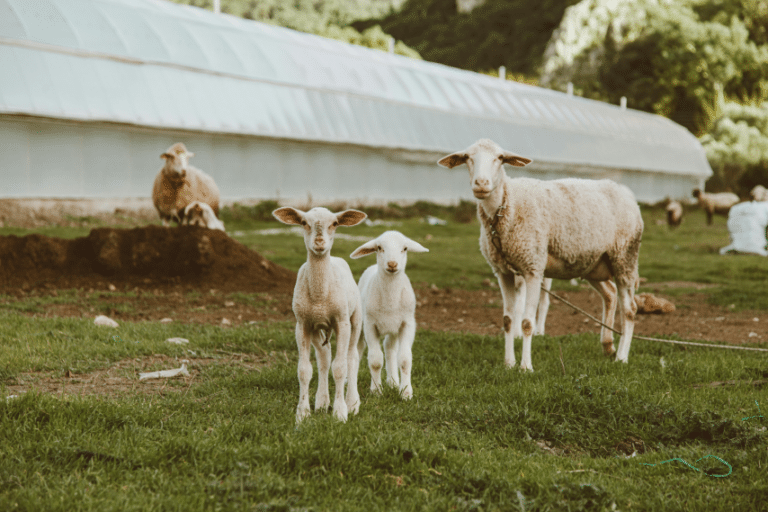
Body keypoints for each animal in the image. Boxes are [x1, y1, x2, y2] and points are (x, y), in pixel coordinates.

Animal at [272, 205, 368, 424]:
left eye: (334, 223)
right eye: (303, 223)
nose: (319, 243)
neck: (319, 297)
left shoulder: (342, 321)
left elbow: (340, 368)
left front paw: (340, 413)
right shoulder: (302, 324)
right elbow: (304, 370)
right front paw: (302, 413)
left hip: (355, 318)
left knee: (352, 357)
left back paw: (352, 403)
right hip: (317, 327)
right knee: (324, 356)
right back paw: (322, 402)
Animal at [350, 231, 428, 400]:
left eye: (405, 248)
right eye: (379, 248)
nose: (392, 264)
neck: (390, 302)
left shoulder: (407, 323)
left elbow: (405, 359)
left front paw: (406, 392)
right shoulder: (370, 325)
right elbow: (375, 360)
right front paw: (376, 391)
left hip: (393, 328)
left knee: (389, 348)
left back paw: (393, 382)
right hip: (360, 324)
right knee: (358, 349)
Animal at [438, 139, 640, 372]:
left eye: (500, 158)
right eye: (468, 158)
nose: (481, 183)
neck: (506, 206)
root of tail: (627, 194)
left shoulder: (532, 267)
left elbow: (526, 322)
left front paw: (526, 367)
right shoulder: (503, 271)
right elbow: (507, 320)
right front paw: (509, 363)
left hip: (624, 256)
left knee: (630, 309)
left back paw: (622, 357)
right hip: (593, 263)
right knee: (610, 294)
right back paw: (608, 345)